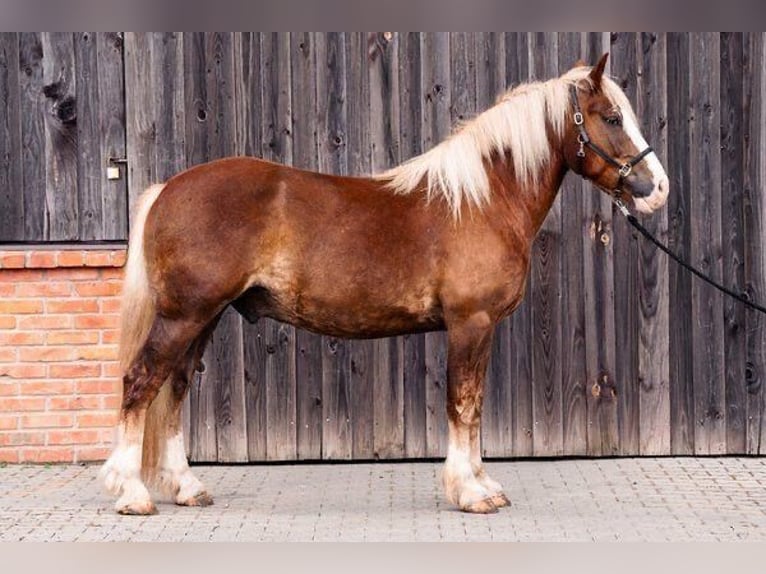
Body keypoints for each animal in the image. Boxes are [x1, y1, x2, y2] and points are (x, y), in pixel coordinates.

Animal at [99, 54, 668, 516]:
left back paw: (186, 487)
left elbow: (475, 405)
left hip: (203, 317)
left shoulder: (480, 329)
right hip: (184, 315)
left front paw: (484, 484)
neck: (482, 199)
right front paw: (470, 492)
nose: (658, 188)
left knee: (174, 389)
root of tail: (168, 187)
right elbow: (463, 403)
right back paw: (131, 492)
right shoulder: (470, 323)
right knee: (140, 382)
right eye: (612, 118)